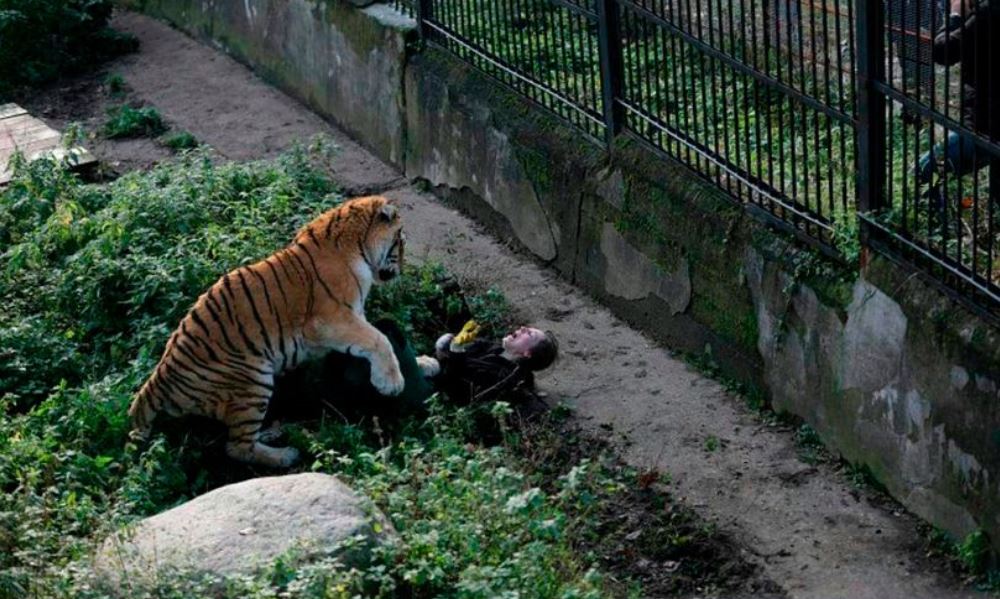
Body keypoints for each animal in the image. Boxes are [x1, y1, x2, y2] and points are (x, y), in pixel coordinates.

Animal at [128, 197, 406, 468]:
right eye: (400, 240)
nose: (403, 268)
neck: (358, 246)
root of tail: (158, 379)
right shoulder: (329, 320)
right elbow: (378, 339)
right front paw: (391, 383)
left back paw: (273, 433)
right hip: (253, 380)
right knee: (237, 447)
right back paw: (285, 455)